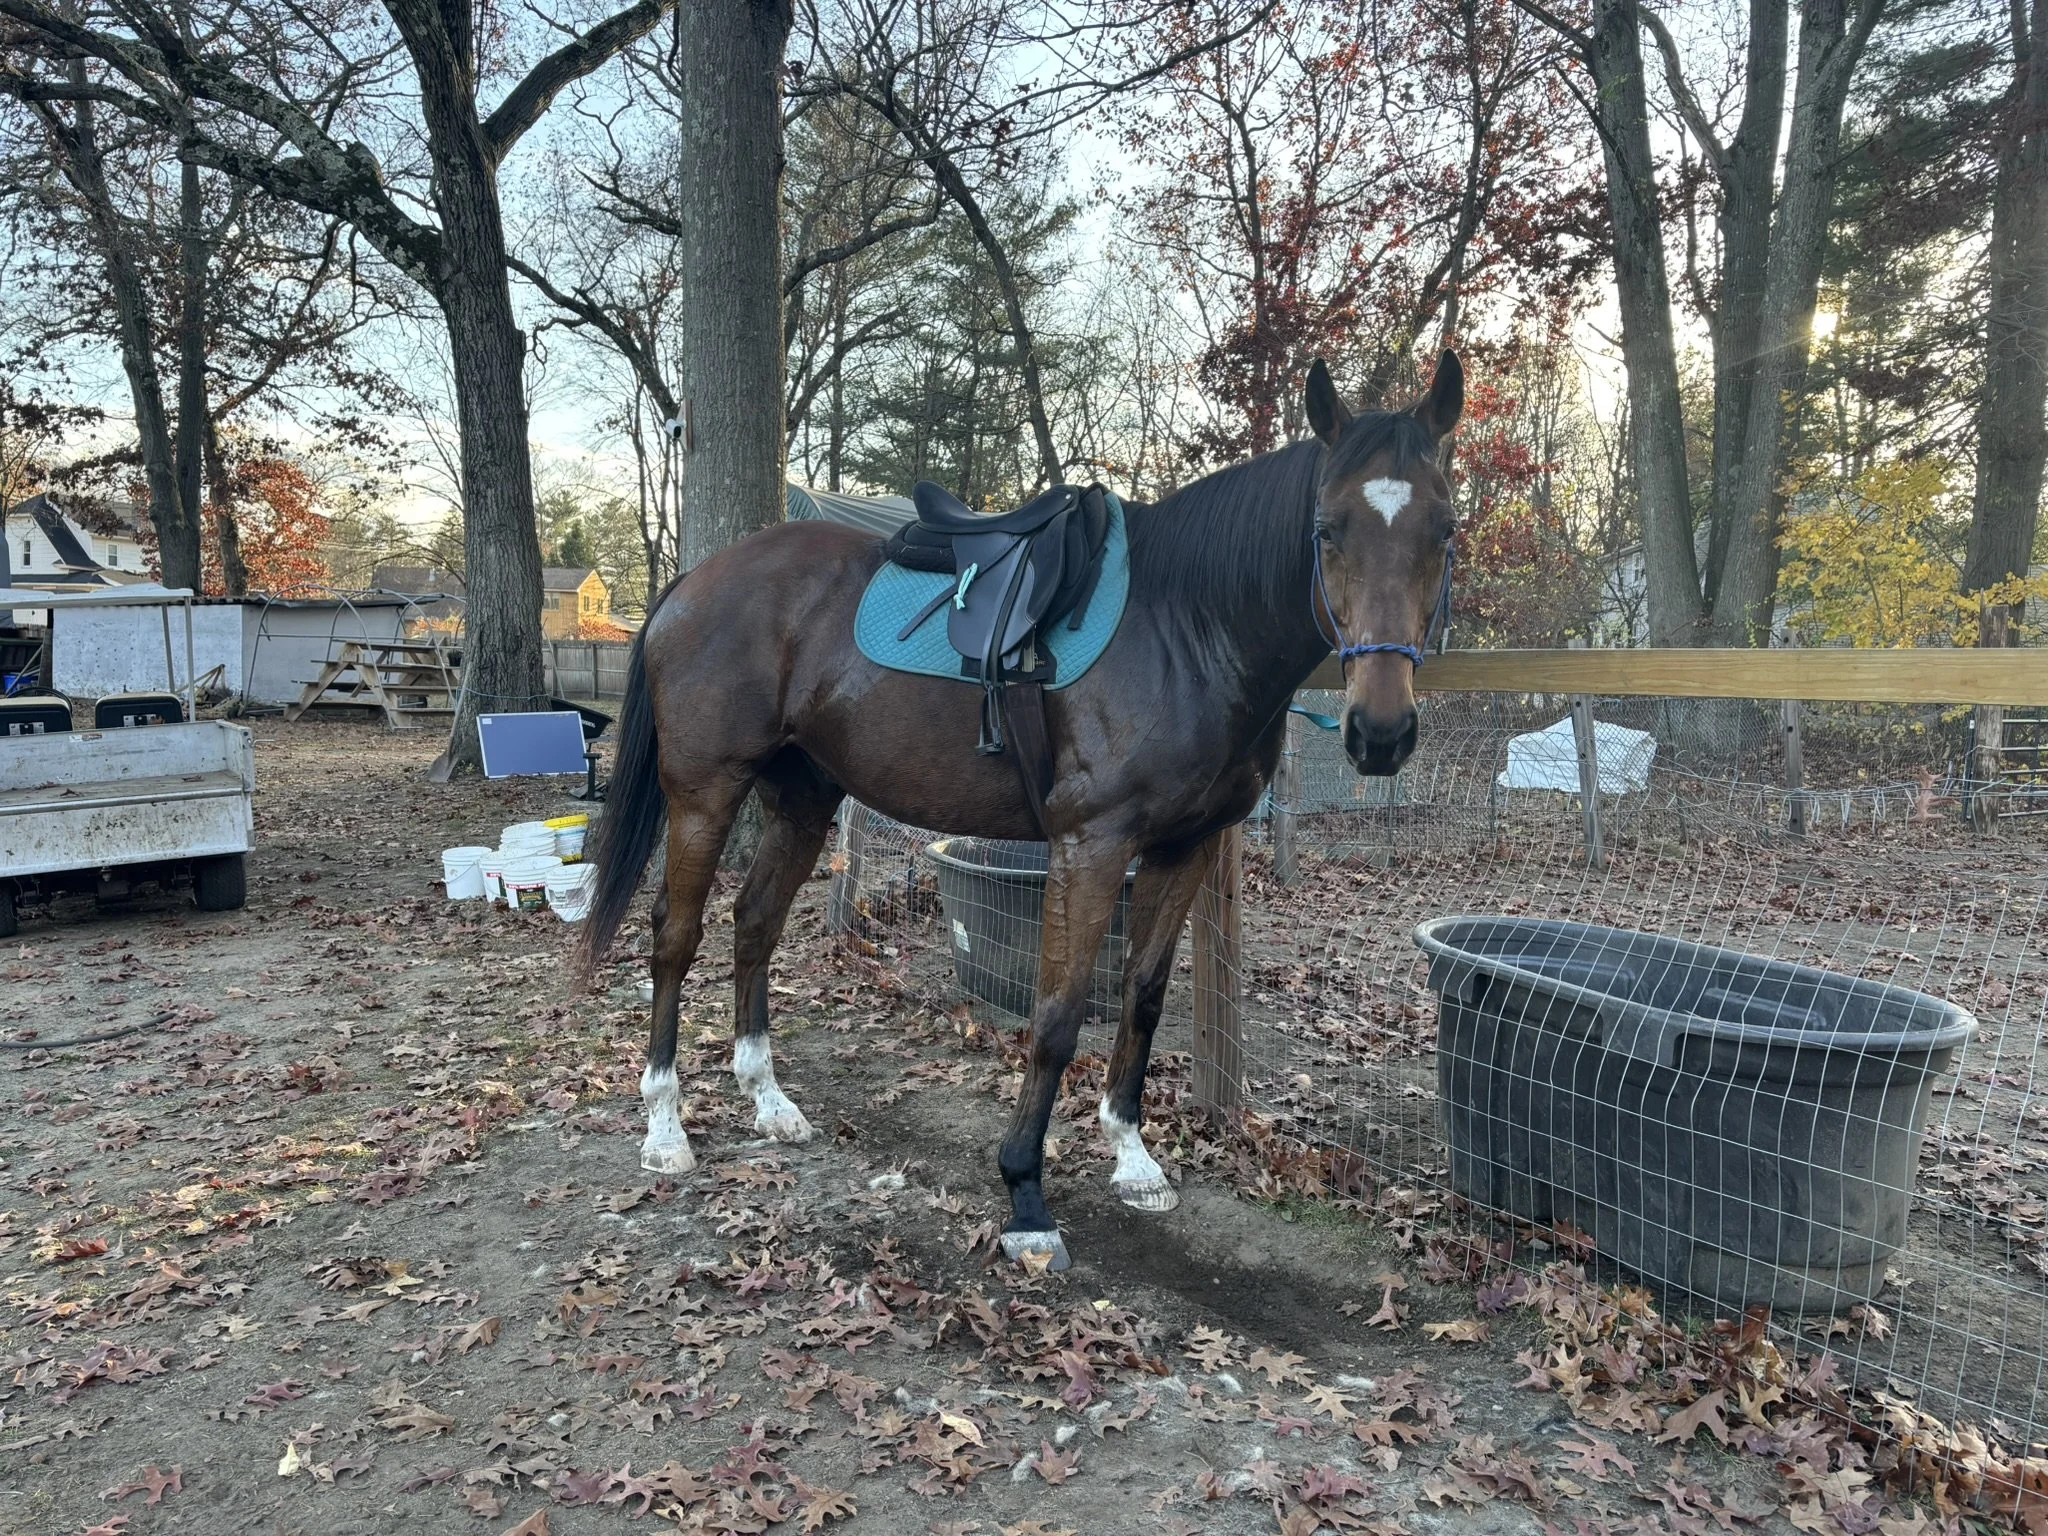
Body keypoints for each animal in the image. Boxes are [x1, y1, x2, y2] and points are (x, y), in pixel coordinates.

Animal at [580, 351, 1465, 1270]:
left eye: (1444, 530)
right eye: (1327, 529)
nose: (1381, 733)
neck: (1186, 624)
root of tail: (696, 580)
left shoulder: (1184, 846)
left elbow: (1144, 995)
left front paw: (1133, 1158)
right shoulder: (1090, 846)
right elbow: (1056, 1017)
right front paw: (1026, 1195)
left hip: (803, 799)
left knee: (754, 921)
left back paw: (769, 1102)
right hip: (705, 793)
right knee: (675, 936)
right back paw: (666, 1126)